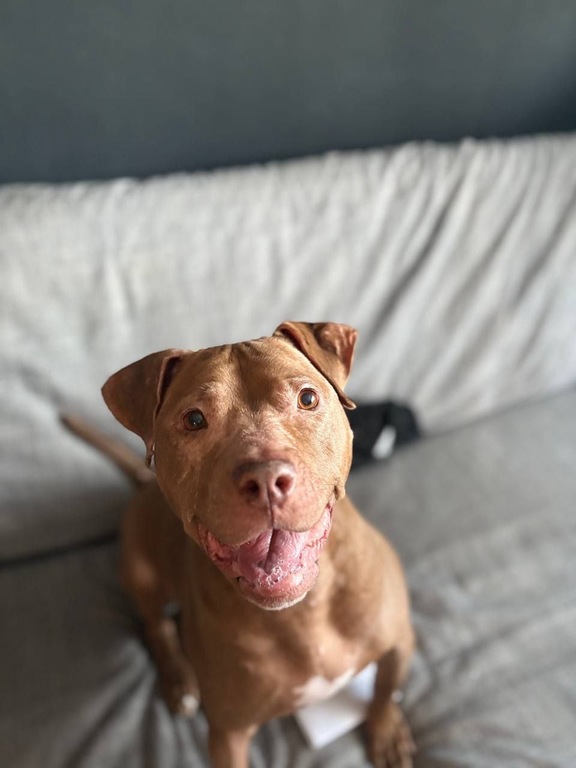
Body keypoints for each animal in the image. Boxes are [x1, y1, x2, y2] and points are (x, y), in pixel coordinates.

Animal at [67, 321, 414, 768]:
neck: (304, 611)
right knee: (156, 626)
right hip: (141, 573)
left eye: (307, 398)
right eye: (194, 419)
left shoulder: (400, 641)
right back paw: (180, 680)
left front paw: (387, 732)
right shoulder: (227, 734)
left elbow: (386, 690)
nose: (265, 478)